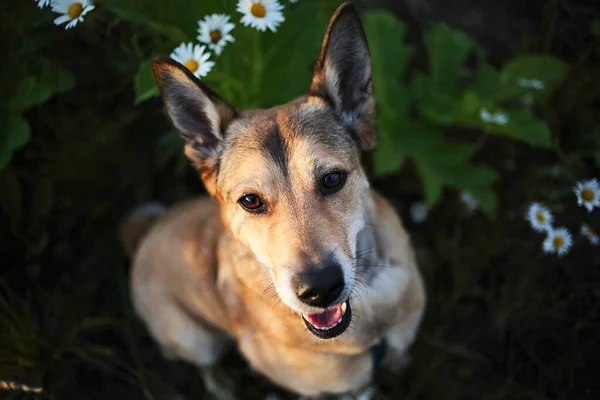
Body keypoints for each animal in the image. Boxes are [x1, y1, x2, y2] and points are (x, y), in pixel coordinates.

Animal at [119, 3, 424, 396]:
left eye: (332, 179)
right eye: (250, 201)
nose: (320, 289)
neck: (370, 322)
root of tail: (143, 235)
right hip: (193, 338)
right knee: (204, 363)